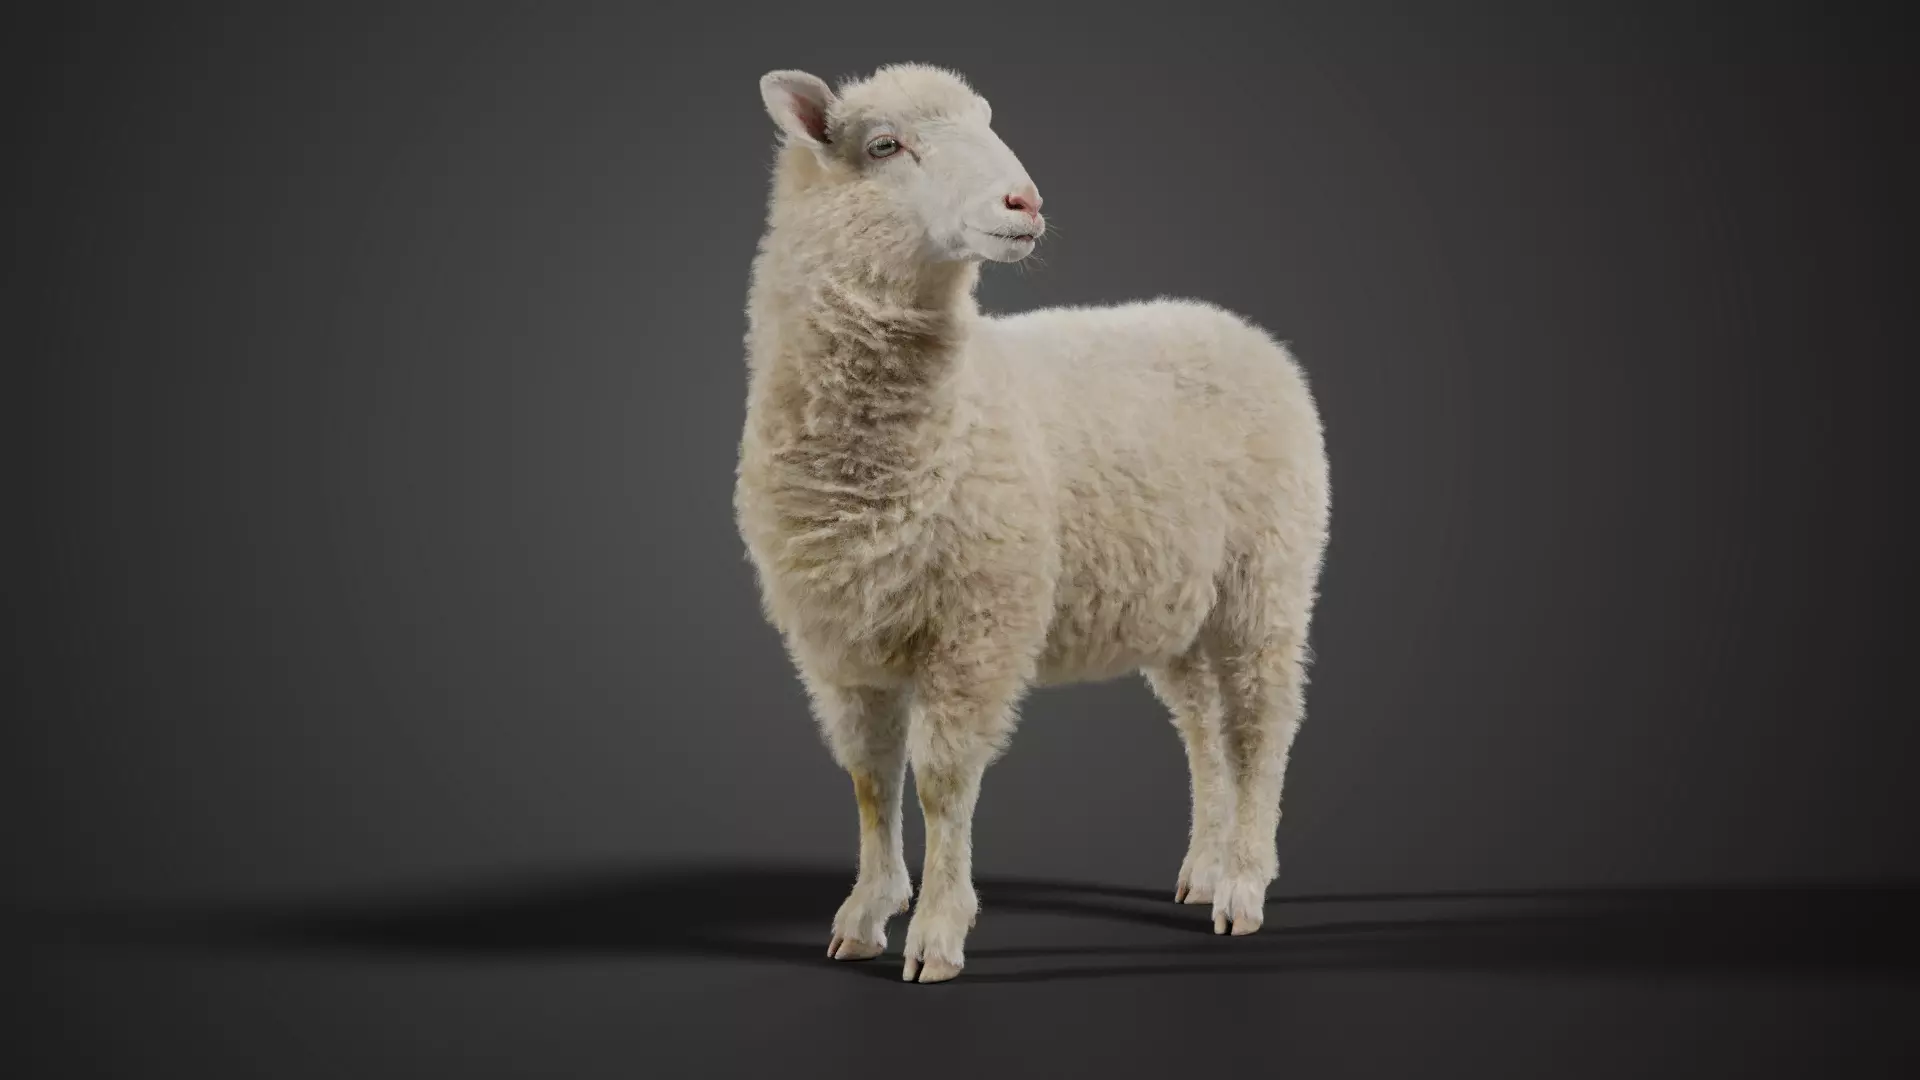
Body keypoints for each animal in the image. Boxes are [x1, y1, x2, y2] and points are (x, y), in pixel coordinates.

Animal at [734, 63, 1331, 983]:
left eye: (987, 121)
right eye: (885, 145)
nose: (1024, 201)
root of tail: (1241, 329)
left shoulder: (979, 624)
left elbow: (942, 779)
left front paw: (937, 933)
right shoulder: (839, 640)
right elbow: (871, 776)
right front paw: (866, 912)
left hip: (1266, 575)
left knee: (1260, 725)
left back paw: (1242, 885)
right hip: (1179, 604)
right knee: (1203, 727)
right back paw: (1203, 866)